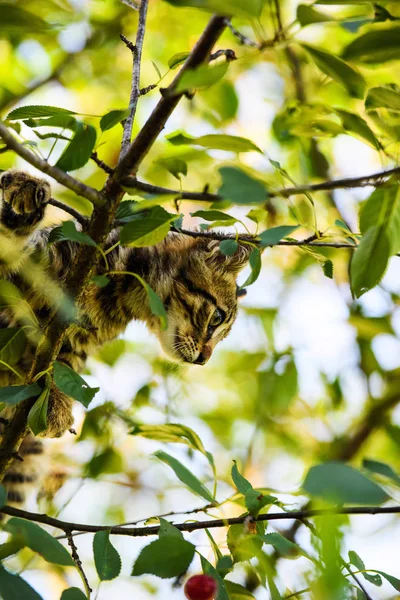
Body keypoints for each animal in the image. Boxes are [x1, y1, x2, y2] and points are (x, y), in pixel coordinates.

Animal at [0, 171, 250, 508]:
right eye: (217, 318)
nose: (203, 359)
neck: (121, 291)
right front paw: (23, 190)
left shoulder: (73, 341)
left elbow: (58, 368)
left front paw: (55, 401)